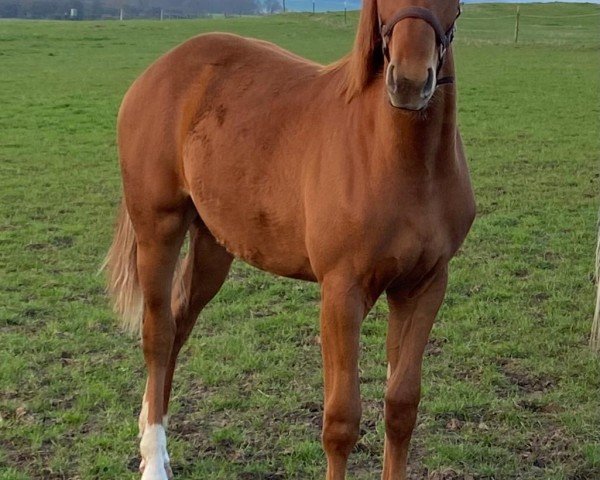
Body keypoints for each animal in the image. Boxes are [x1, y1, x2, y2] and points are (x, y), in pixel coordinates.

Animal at [105, 0, 476, 476]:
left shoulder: (424, 287)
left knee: (178, 322)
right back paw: (152, 459)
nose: (410, 80)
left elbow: (401, 408)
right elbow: (341, 422)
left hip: (212, 245)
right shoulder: (341, 292)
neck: (399, 158)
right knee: (158, 334)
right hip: (158, 229)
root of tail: (158, 71)